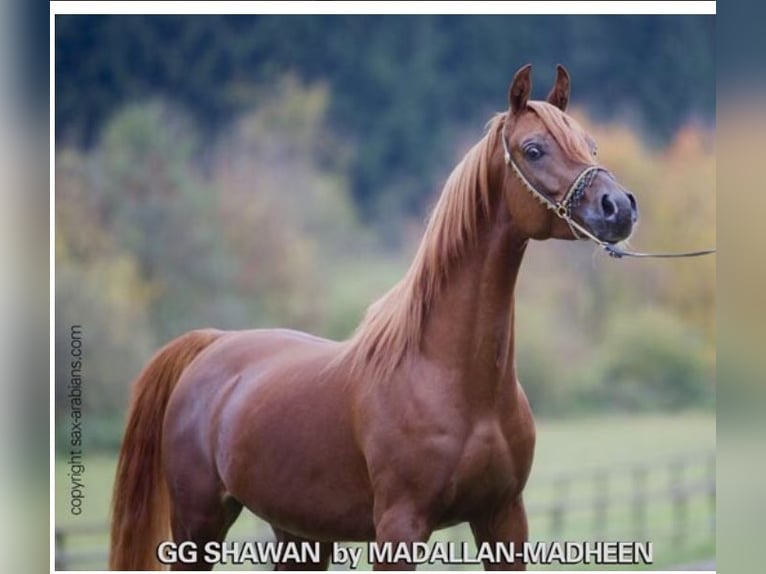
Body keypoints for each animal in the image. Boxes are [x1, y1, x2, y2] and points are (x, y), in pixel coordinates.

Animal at [108, 65, 636, 572]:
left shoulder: (503, 517)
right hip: (197, 525)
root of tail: (213, 344)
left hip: (299, 535)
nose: (619, 207)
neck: (454, 381)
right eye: (534, 149)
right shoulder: (400, 526)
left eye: (590, 144)